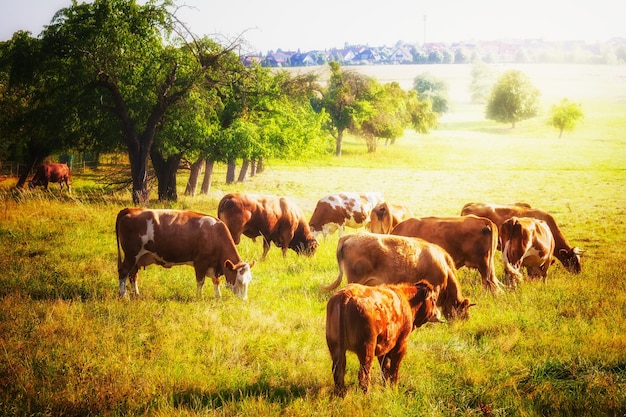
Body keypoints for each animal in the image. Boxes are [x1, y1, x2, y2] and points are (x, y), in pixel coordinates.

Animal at [114, 208, 254, 300]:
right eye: (240, 281)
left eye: (249, 280)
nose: (244, 300)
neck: (215, 233)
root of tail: (131, 209)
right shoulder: (201, 262)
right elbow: (200, 281)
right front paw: (199, 298)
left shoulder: (214, 265)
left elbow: (216, 281)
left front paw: (217, 297)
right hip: (131, 254)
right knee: (123, 272)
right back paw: (124, 295)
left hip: (136, 258)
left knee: (133, 275)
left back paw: (136, 294)